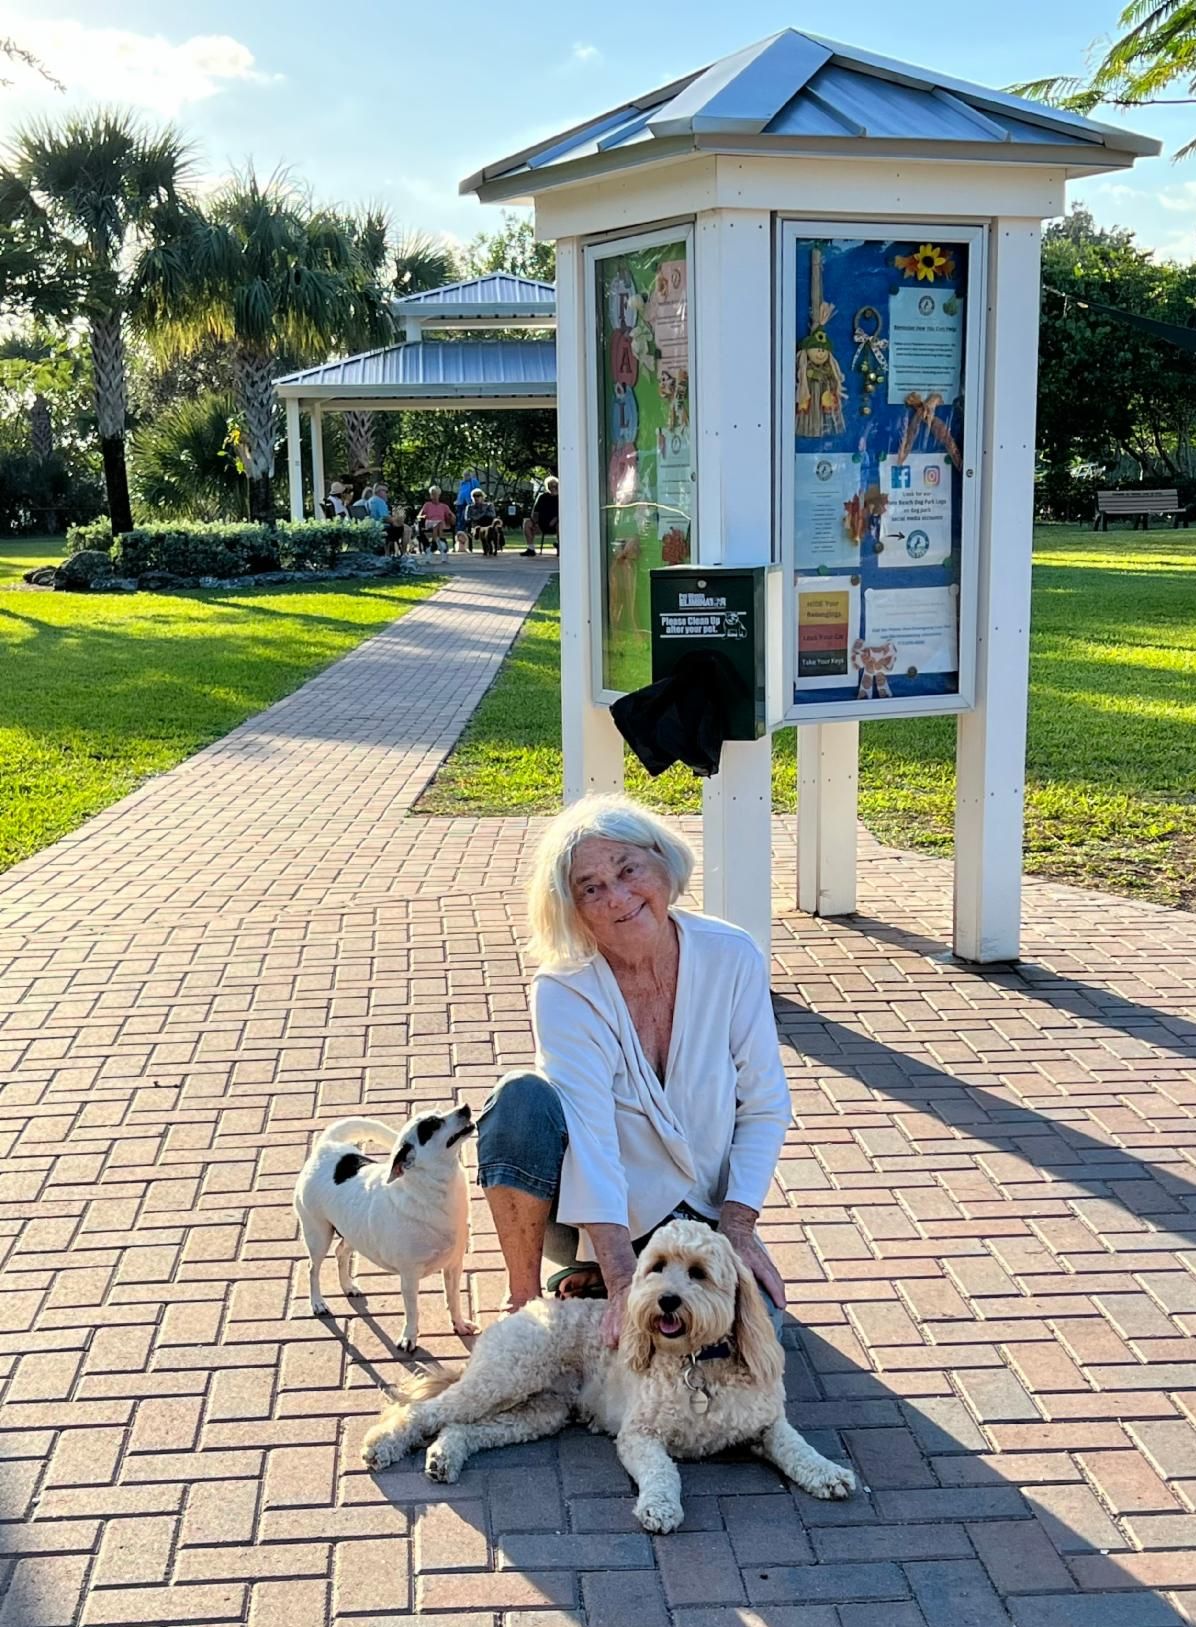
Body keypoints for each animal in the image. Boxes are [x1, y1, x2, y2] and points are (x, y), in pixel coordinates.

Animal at [293, 1106, 478, 1352]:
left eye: (441, 1112)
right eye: (431, 1126)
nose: (464, 1108)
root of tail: (326, 1147)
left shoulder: (454, 1266)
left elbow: (454, 1299)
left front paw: (459, 1324)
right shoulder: (409, 1276)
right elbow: (413, 1311)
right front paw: (409, 1338)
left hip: (354, 1232)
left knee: (340, 1252)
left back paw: (348, 1286)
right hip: (318, 1235)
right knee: (313, 1269)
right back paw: (318, 1303)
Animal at [361, 1219, 855, 1531]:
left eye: (698, 1273)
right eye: (656, 1267)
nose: (667, 1300)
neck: (698, 1363)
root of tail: (527, 1309)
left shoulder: (766, 1423)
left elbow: (797, 1447)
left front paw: (828, 1471)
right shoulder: (640, 1435)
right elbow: (662, 1471)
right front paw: (659, 1506)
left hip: (538, 1412)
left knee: (465, 1427)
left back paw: (445, 1456)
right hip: (505, 1377)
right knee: (428, 1412)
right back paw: (384, 1444)